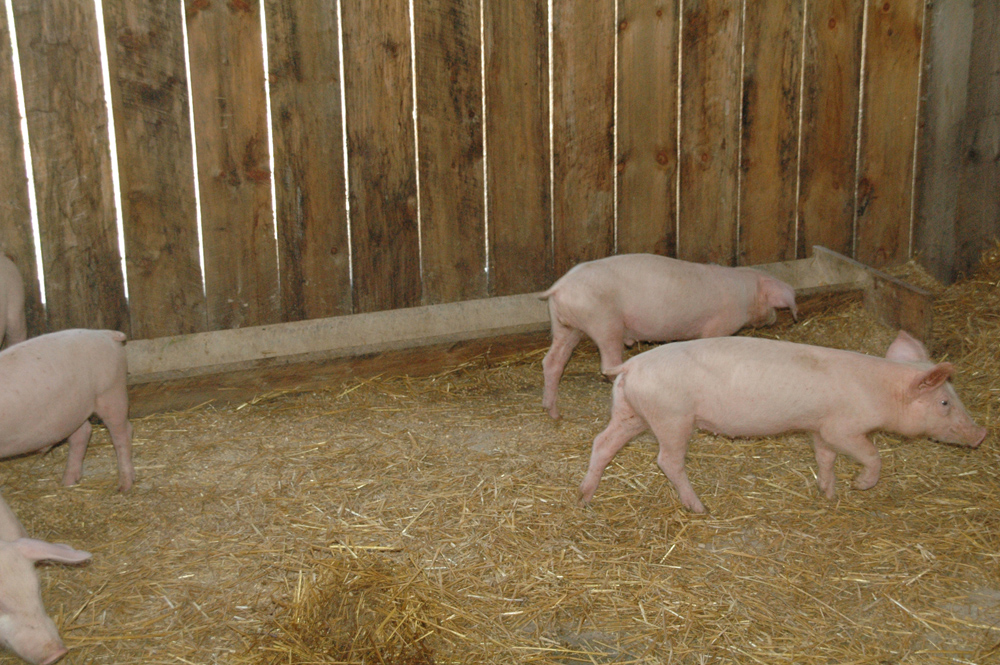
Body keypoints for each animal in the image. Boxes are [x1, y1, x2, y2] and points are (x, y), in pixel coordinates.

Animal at [0, 329, 134, 492]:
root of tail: (107, 333)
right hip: (74, 410)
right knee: (82, 433)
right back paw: (68, 482)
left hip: (111, 393)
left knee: (122, 433)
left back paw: (124, 486)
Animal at [540, 254, 797, 418]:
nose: (775, 318)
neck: (746, 295)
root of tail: (560, 286)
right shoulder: (719, 326)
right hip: (603, 322)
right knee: (609, 364)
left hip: (566, 326)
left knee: (552, 361)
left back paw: (553, 413)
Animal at [578, 330, 987, 513]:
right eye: (945, 402)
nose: (982, 434)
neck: (881, 392)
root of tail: (630, 366)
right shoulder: (842, 427)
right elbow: (872, 455)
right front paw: (860, 487)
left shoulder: (820, 428)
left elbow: (825, 458)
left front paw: (829, 494)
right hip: (673, 416)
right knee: (667, 460)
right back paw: (700, 508)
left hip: (631, 412)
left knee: (603, 442)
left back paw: (584, 496)